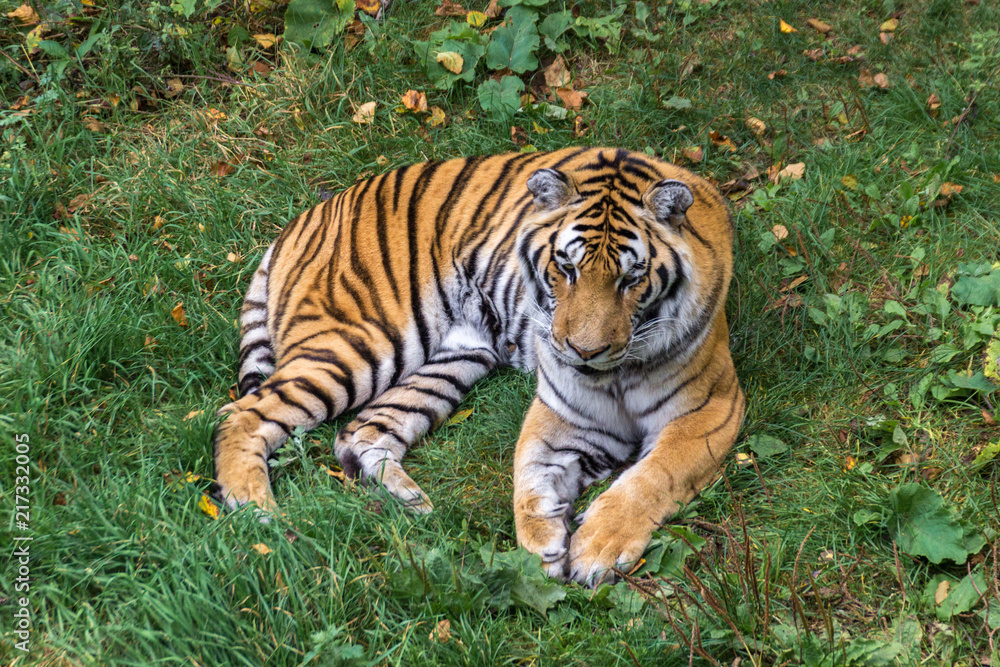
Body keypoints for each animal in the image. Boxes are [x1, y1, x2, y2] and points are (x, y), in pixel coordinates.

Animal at [213, 146, 745, 586]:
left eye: (631, 278)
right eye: (566, 268)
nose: (583, 351)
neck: (615, 373)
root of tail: (305, 218)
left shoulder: (711, 409)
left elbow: (651, 477)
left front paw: (594, 546)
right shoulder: (565, 413)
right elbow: (529, 473)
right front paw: (541, 542)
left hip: (455, 357)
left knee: (360, 431)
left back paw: (411, 503)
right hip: (361, 342)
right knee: (241, 415)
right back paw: (259, 514)